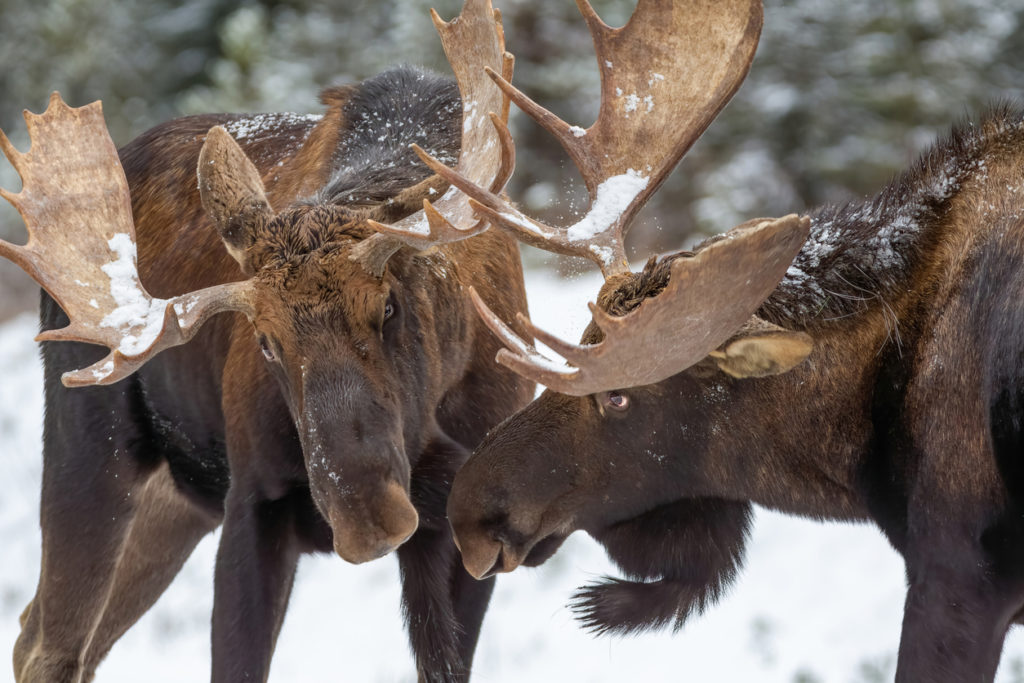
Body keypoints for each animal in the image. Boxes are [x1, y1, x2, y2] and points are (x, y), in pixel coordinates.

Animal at [0, 1, 532, 683]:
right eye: (266, 342)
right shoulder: (254, 502)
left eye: (388, 305)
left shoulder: (473, 527)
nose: (367, 519)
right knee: (50, 643)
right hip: (91, 444)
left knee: (50, 629)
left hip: (180, 501)